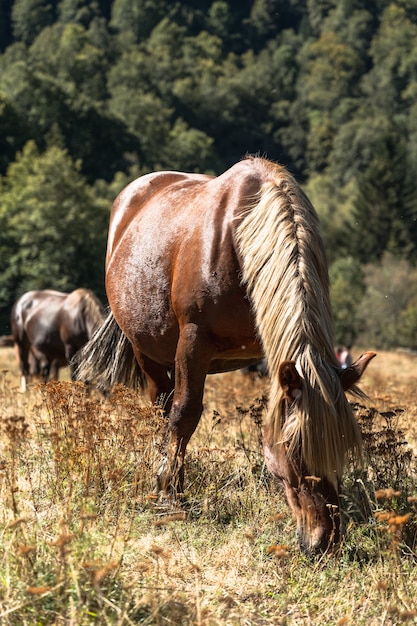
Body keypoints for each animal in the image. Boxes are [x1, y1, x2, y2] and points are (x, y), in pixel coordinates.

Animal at [74, 156, 374, 552]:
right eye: (295, 452)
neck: (241, 240)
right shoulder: (193, 342)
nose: (324, 540)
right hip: (147, 350)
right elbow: (184, 414)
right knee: (162, 406)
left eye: (342, 448)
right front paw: (171, 496)